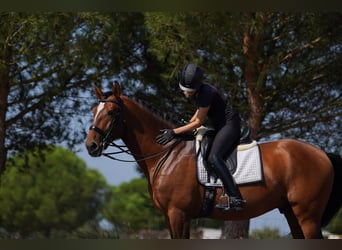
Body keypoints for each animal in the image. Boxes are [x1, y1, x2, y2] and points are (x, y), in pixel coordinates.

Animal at [85, 82, 342, 238]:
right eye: (93, 111)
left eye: (112, 113)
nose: (91, 146)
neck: (167, 154)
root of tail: (321, 153)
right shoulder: (173, 216)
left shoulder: (178, 213)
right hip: (291, 212)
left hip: (307, 215)